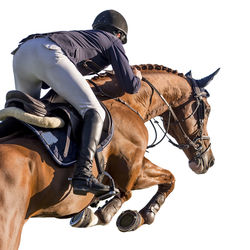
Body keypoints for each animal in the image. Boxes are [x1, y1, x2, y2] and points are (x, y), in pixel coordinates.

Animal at [0, 65, 218, 250]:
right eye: (206, 109)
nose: (209, 161)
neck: (128, 103)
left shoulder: (138, 166)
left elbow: (169, 178)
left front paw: (143, 215)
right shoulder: (130, 169)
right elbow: (132, 191)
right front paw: (110, 214)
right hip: (9, 228)